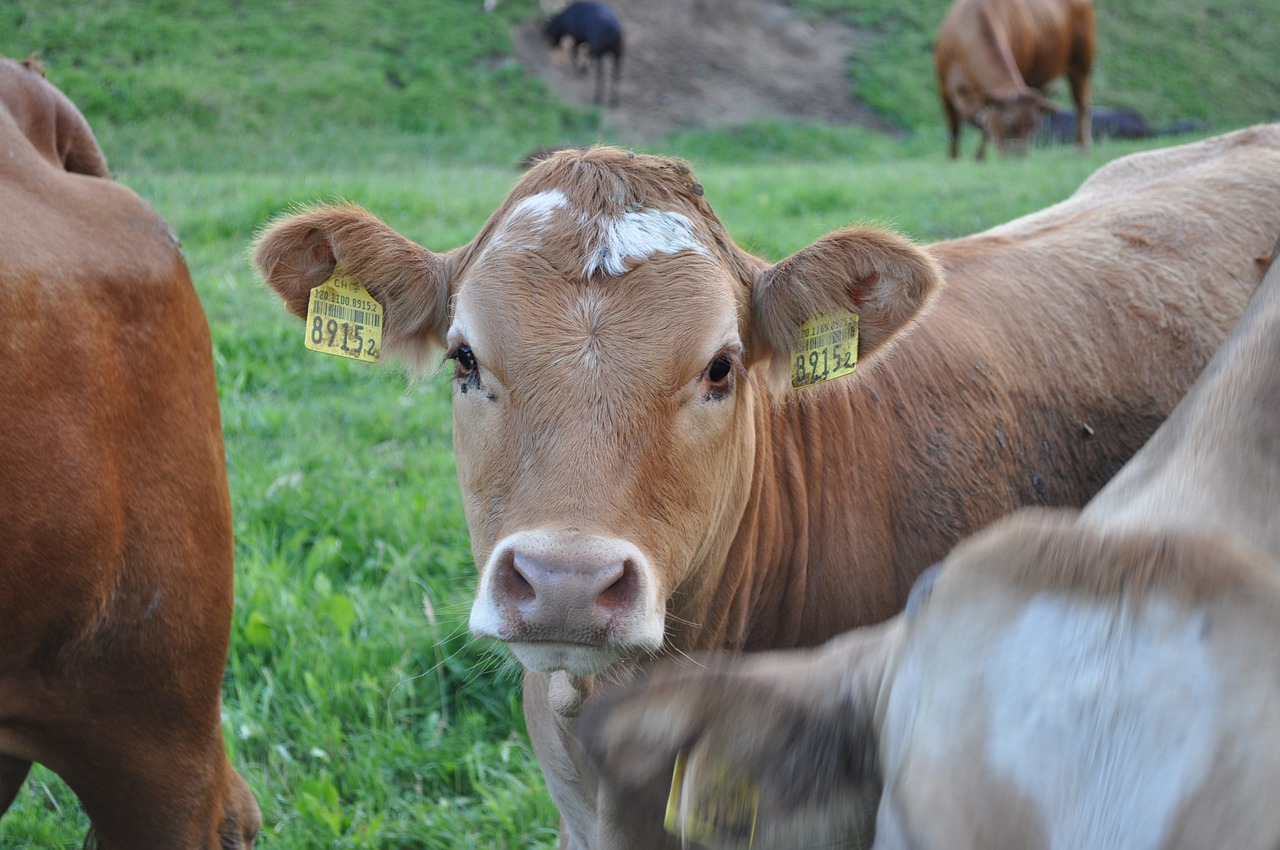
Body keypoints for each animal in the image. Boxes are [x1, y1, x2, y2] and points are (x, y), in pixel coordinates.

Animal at [936, 0, 1095, 159]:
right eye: (1008, 124)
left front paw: (979, 158)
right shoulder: (944, 87)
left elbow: (985, 126)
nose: (1018, 158)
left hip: (1080, 64)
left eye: (1033, 125)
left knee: (1081, 103)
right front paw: (954, 158)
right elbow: (954, 127)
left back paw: (1082, 147)